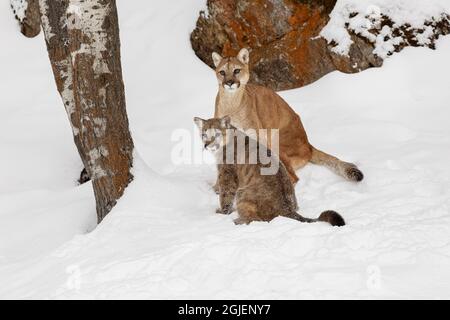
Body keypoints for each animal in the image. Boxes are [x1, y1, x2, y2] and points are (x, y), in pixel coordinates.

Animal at [211, 47, 362, 182]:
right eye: (222, 72)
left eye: (236, 70)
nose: (229, 83)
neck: (231, 104)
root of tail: (308, 144)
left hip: (277, 144)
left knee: (292, 177)